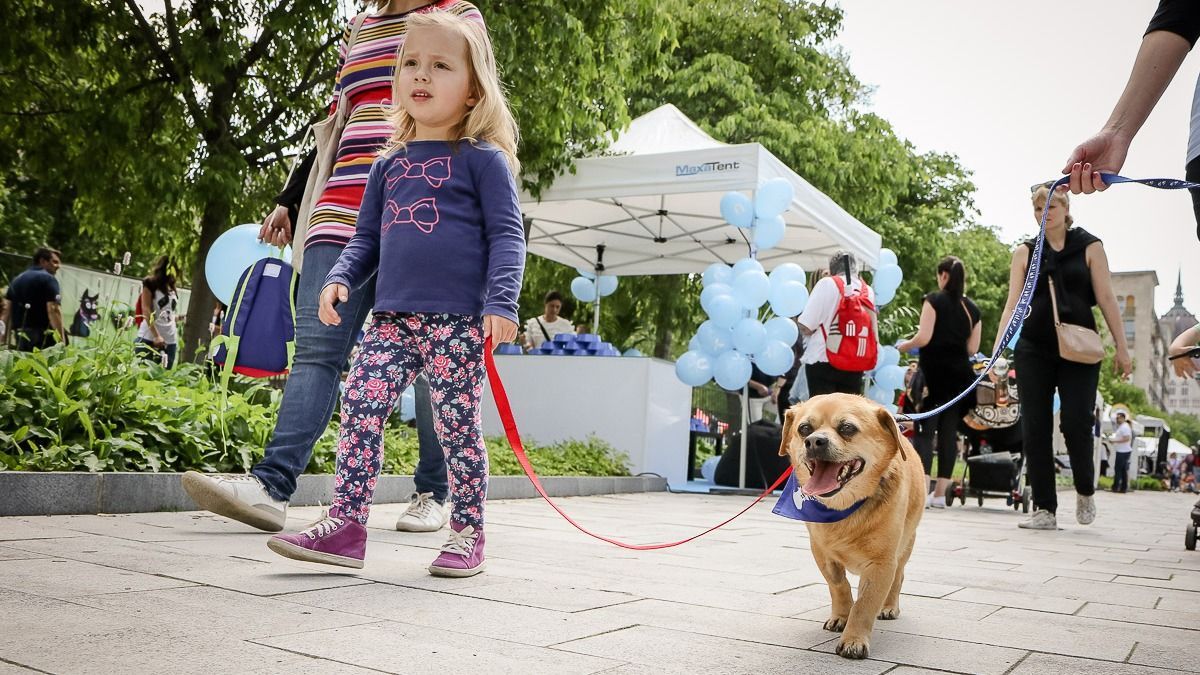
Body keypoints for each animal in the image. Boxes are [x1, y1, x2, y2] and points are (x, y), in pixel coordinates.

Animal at [777, 391, 926, 653]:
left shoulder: (881, 565)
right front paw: (841, 616)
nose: (814, 441)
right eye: (804, 429)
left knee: (898, 577)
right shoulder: (823, 555)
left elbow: (865, 604)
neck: (842, 508)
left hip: (905, 546)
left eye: (847, 428)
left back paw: (889, 606)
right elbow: (839, 586)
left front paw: (854, 639)